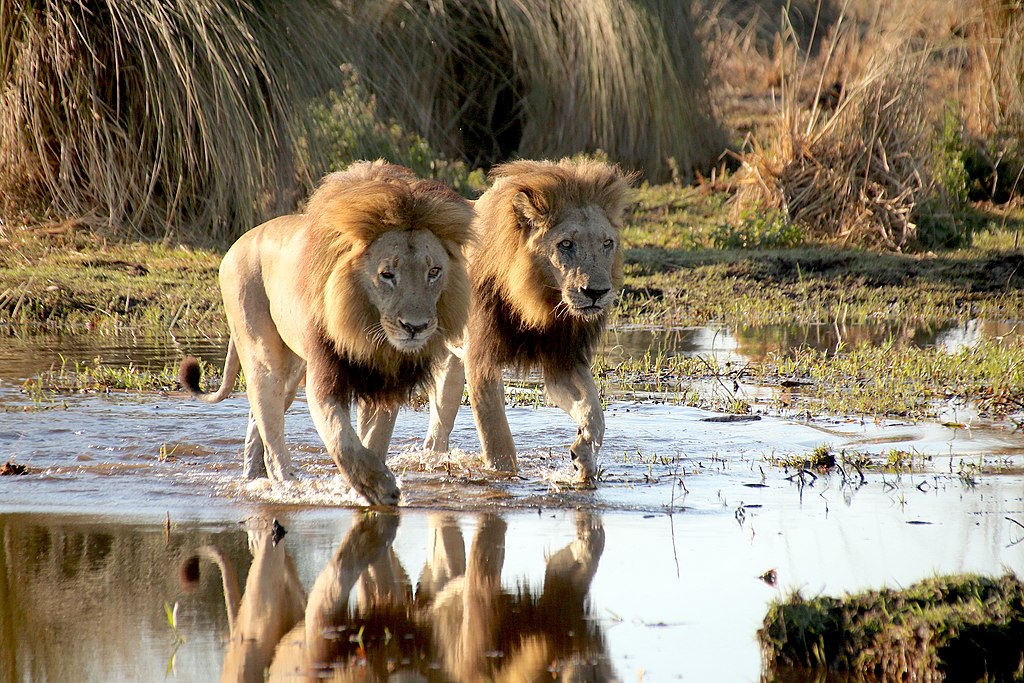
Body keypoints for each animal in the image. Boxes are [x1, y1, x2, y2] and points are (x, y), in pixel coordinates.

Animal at [179, 158, 471, 501]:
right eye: (387, 274)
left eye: (434, 272)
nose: (416, 327)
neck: (368, 332)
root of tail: (239, 241)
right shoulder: (324, 377)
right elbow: (341, 438)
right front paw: (379, 485)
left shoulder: (385, 383)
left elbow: (374, 439)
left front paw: (369, 484)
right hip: (263, 351)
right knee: (271, 430)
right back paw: (287, 485)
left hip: (291, 372)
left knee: (257, 422)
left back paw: (254, 478)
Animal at [423, 157, 630, 483]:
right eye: (566, 244)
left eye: (607, 243)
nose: (596, 292)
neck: (539, 302)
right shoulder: (481, 362)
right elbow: (497, 439)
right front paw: (505, 478)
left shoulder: (563, 359)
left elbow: (595, 413)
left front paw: (583, 458)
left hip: (450, 368)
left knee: (436, 435)